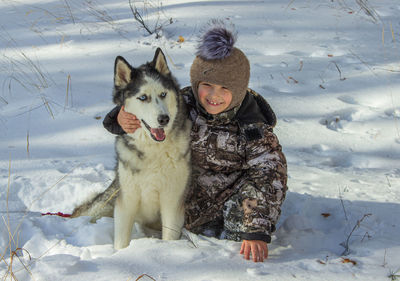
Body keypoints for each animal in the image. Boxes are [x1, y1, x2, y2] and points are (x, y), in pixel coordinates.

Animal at [72, 48, 191, 249]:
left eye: (163, 94)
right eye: (143, 97)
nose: (164, 119)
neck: (153, 149)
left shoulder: (172, 201)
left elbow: (169, 236)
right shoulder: (126, 201)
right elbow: (120, 241)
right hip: (106, 202)